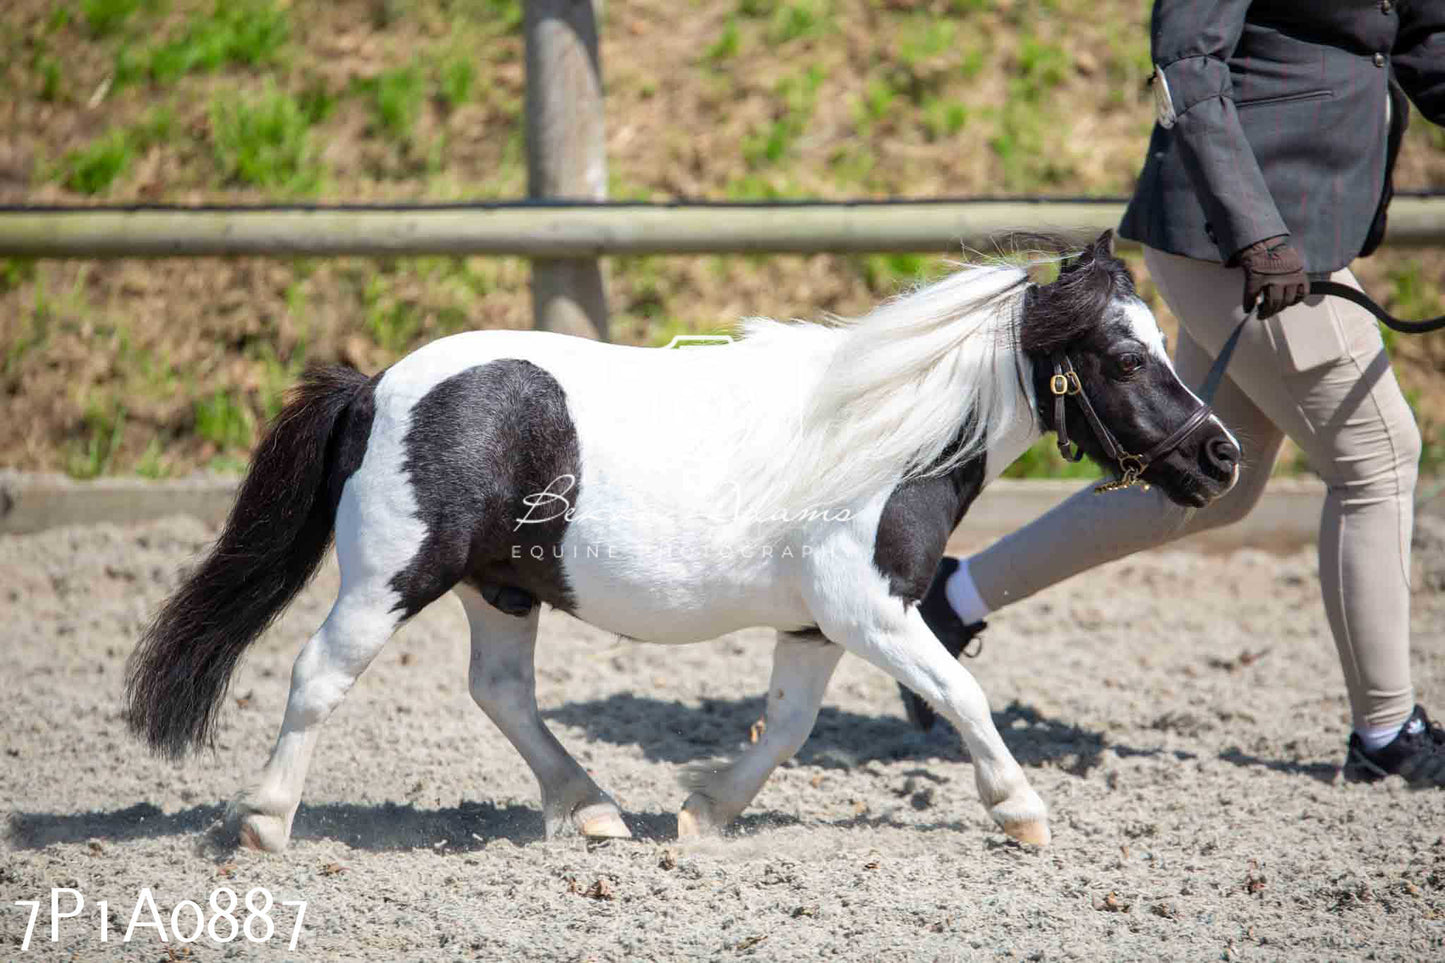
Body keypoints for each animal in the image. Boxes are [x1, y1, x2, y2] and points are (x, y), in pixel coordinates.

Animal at [124, 231, 1236, 850]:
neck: (888, 440)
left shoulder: (818, 626)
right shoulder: (868, 609)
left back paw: (594, 810)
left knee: (500, 692)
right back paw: (262, 824)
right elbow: (960, 692)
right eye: (1124, 355)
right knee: (318, 675)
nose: (1218, 457)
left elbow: (785, 726)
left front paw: (704, 812)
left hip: (502, 588)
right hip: (392, 578)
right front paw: (1020, 812)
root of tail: (377, 386)